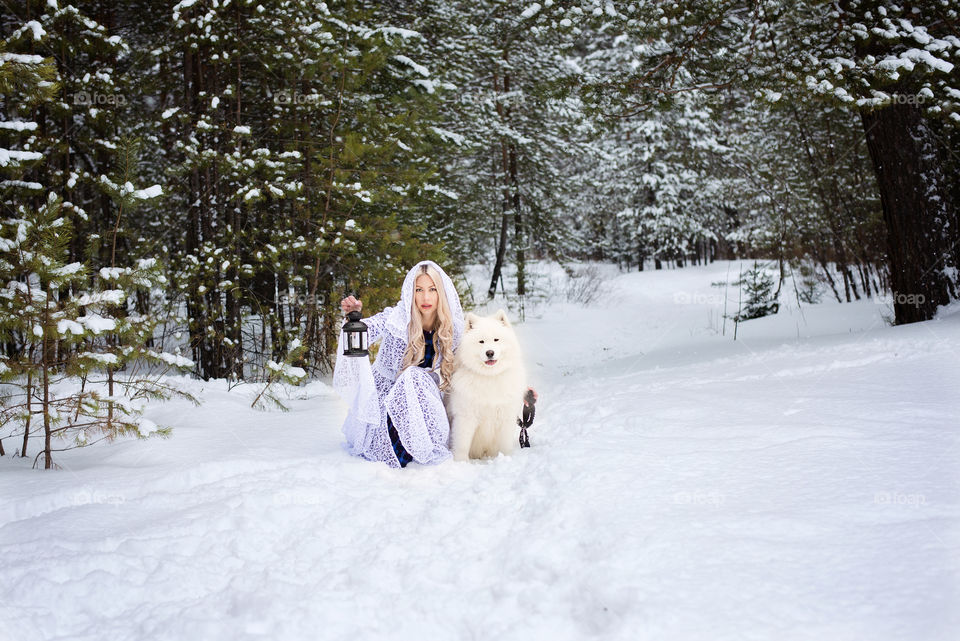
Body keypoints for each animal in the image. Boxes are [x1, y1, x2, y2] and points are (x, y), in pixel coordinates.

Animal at [448, 310, 528, 460]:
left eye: (496, 339)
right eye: (481, 342)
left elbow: (505, 444)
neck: (489, 377)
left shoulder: (506, 416)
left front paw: (506, 457)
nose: (490, 352)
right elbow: (462, 444)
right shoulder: (466, 417)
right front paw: (461, 461)